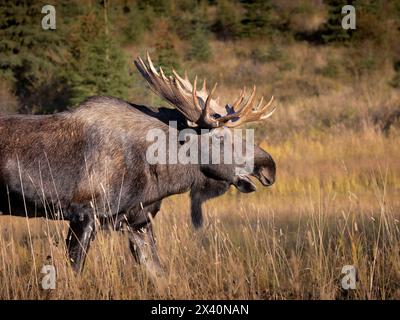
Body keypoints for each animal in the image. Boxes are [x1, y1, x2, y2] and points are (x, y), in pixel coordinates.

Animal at [0, 54, 276, 276]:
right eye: (219, 137)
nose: (269, 167)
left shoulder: (138, 222)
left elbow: (159, 274)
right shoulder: (84, 213)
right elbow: (74, 272)